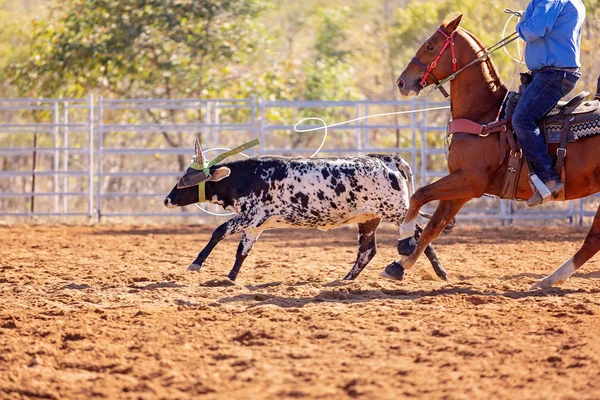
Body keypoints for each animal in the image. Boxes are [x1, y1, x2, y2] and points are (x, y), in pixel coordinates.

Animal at [164, 140, 450, 282]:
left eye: (186, 181)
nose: (167, 199)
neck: (248, 176)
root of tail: (387, 160)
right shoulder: (255, 225)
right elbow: (242, 251)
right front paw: (231, 277)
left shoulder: (249, 216)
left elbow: (219, 231)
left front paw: (196, 263)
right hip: (369, 219)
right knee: (368, 250)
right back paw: (346, 279)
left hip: (396, 212)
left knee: (420, 236)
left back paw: (435, 272)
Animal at [392, 12, 600, 288]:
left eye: (431, 46)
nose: (402, 82)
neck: (484, 115)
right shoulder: (461, 186)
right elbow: (434, 225)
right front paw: (400, 264)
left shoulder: (469, 181)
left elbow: (419, 195)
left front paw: (404, 238)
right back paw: (549, 279)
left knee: (593, 238)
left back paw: (549, 279)